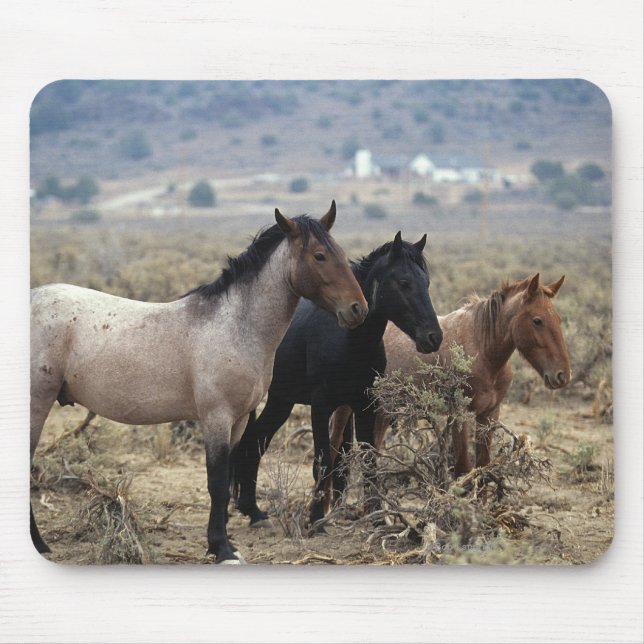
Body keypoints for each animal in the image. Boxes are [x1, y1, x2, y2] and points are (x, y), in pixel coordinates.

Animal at [30, 202, 368, 564]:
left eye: (341, 253)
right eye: (320, 256)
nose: (358, 309)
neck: (234, 326)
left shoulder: (238, 421)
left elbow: (228, 477)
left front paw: (223, 543)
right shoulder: (216, 418)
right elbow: (217, 482)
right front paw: (222, 549)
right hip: (36, 404)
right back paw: (38, 544)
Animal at [231, 232, 443, 528]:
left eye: (427, 282)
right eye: (404, 282)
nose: (433, 337)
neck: (348, 340)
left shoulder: (364, 405)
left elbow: (367, 459)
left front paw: (377, 516)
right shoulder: (321, 406)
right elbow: (323, 460)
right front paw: (316, 517)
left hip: (281, 401)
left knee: (254, 441)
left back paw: (253, 511)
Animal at [330, 273, 571, 479]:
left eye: (559, 319)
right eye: (537, 320)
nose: (562, 375)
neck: (483, 350)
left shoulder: (489, 415)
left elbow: (483, 467)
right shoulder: (459, 414)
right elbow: (464, 468)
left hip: (382, 410)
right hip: (348, 408)